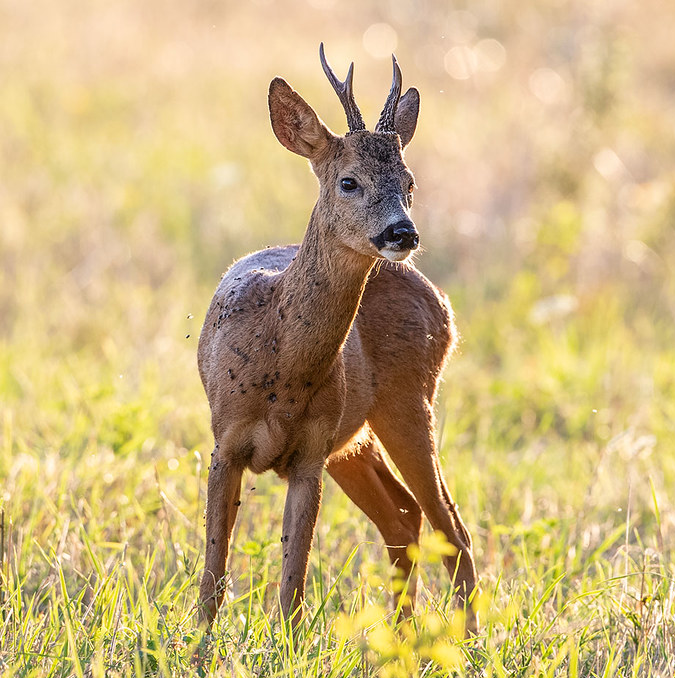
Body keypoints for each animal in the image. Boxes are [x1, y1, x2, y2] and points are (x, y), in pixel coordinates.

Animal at [198, 43, 478, 632]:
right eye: (349, 181)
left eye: (410, 182)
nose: (402, 232)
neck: (280, 366)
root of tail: (442, 304)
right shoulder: (224, 442)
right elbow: (215, 570)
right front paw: (197, 643)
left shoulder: (310, 452)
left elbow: (292, 583)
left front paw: (282, 644)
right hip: (356, 439)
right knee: (404, 516)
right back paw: (403, 636)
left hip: (407, 401)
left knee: (451, 527)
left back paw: (467, 641)